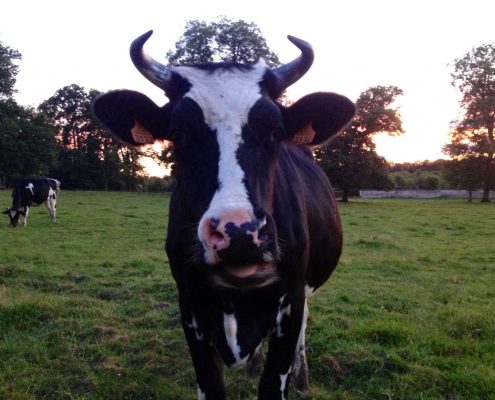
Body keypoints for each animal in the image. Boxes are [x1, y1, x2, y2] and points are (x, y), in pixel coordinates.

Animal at [93, 29, 356, 398]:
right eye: (178, 133)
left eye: (276, 131)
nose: (240, 233)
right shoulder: (190, 307)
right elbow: (211, 386)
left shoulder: (290, 305)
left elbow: (276, 378)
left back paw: (302, 376)